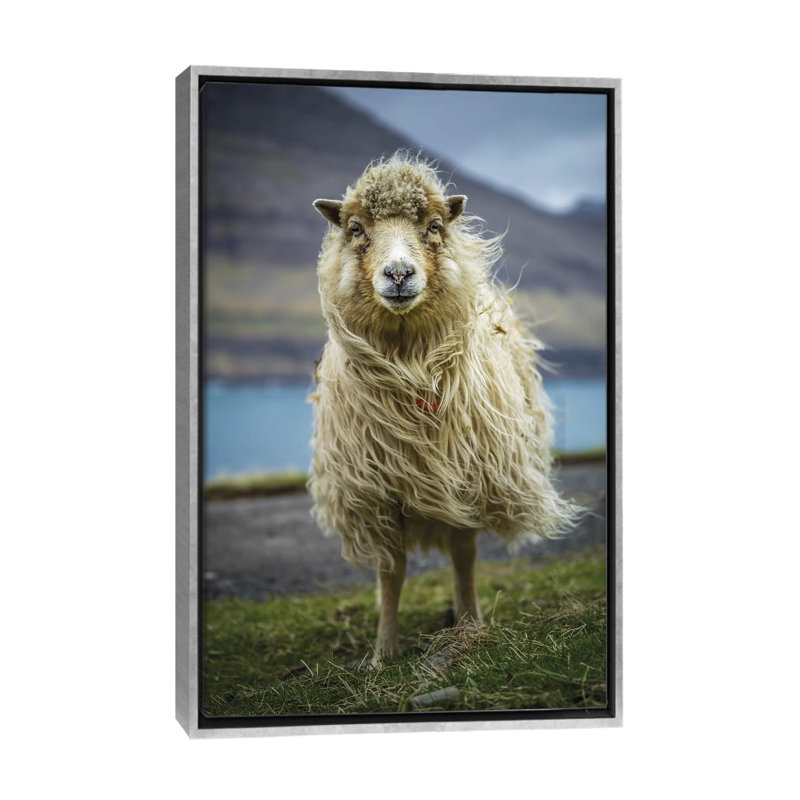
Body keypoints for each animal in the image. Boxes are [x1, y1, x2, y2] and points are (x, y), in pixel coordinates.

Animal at [309, 152, 577, 661]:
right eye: (356, 228)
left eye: (433, 226)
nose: (398, 274)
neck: (410, 364)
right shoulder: (377, 492)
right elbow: (390, 573)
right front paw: (383, 653)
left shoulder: (467, 478)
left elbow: (464, 555)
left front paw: (470, 626)